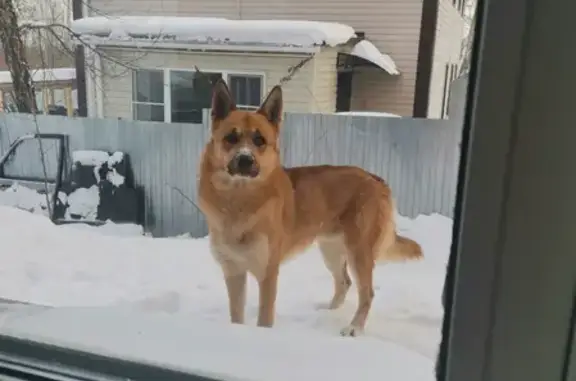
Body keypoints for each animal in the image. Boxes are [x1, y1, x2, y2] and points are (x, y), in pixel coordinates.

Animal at [199, 79, 424, 336]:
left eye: (259, 141)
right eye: (231, 138)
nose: (245, 160)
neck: (238, 201)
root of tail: (377, 180)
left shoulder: (267, 273)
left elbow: (264, 319)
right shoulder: (233, 272)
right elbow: (236, 316)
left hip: (359, 253)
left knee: (367, 292)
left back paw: (353, 328)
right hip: (331, 250)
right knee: (344, 282)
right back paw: (329, 312)